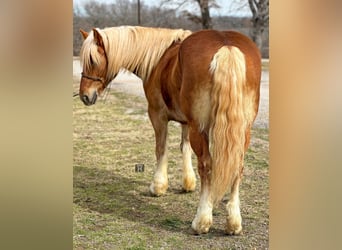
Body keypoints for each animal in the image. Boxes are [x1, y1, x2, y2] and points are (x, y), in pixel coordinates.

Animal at [78, 25, 262, 234]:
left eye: (92, 60)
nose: (85, 95)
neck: (158, 58)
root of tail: (226, 46)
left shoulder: (158, 115)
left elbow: (161, 149)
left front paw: (158, 186)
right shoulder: (186, 122)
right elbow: (184, 147)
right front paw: (188, 183)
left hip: (201, 128)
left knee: (206, 166)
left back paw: (202, 220)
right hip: (242, 130)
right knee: (237, 167)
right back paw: (233, 223)